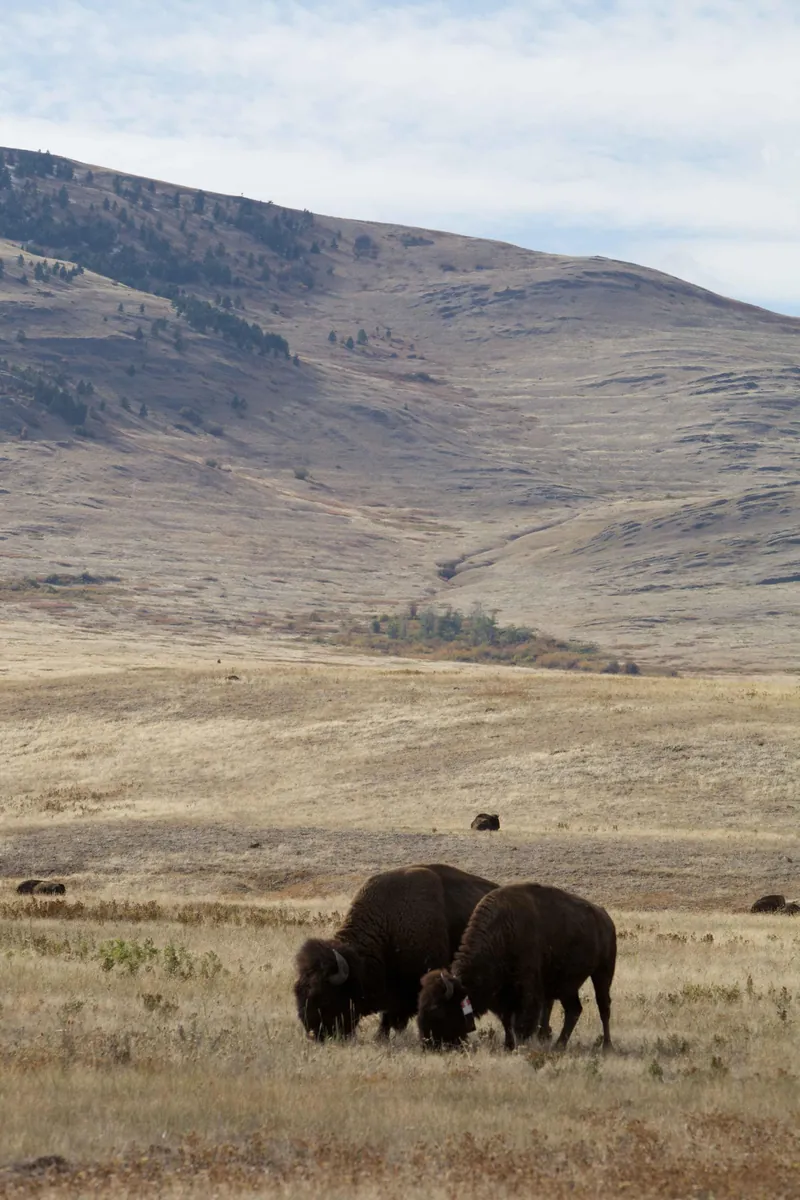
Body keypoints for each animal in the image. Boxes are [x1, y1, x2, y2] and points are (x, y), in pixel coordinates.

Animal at [418, 882, 616, 1052]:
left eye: (436, 1009)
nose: (427, 1044)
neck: (501, 933)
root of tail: (605, 917)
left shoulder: (527, 991)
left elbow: (520, 1023)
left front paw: (520, 1046)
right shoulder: (503, 996)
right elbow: (507, 1022)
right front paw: (508, 1046)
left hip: (602, 973)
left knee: (603, 1007)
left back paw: (606, 1046)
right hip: (567, 985)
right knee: (574, 1010)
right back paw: (559, 1045)